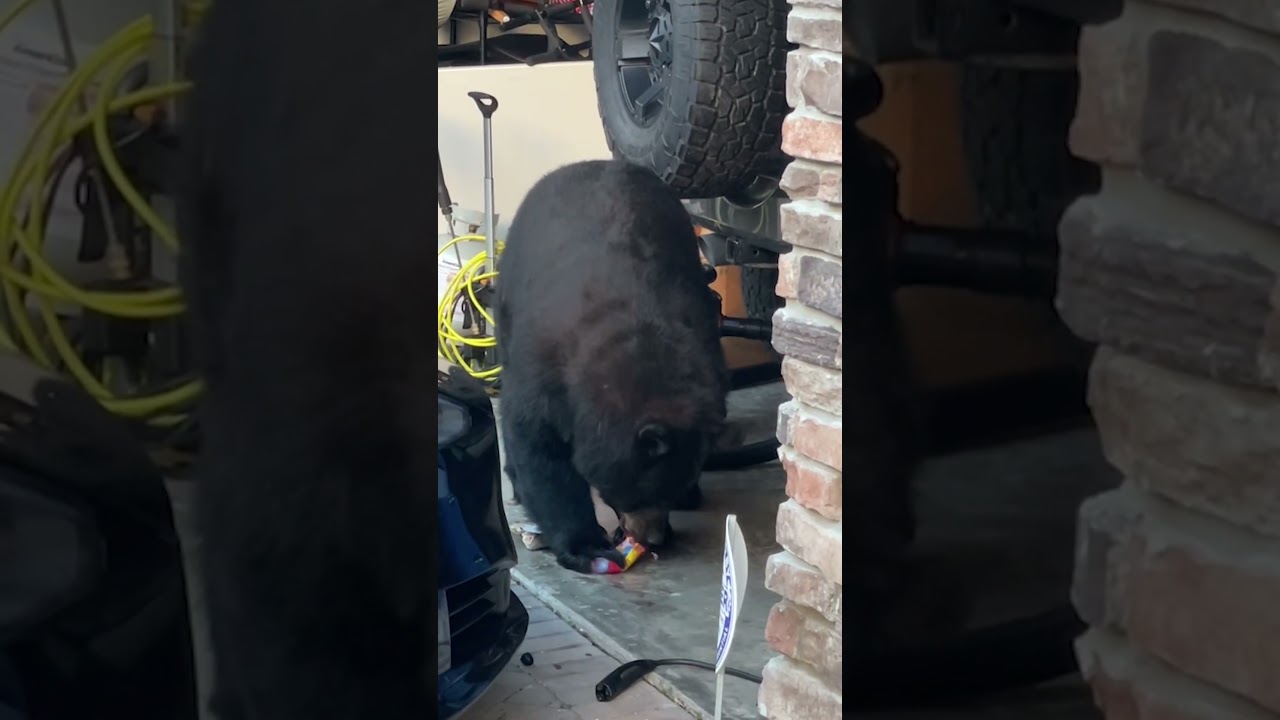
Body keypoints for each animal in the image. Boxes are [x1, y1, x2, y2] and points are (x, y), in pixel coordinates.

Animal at [494, 160, 730, 573]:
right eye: (637, 494)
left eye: (669, 492)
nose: (654, 539)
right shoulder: (541, 371)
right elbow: (539, 449)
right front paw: (586, 545)